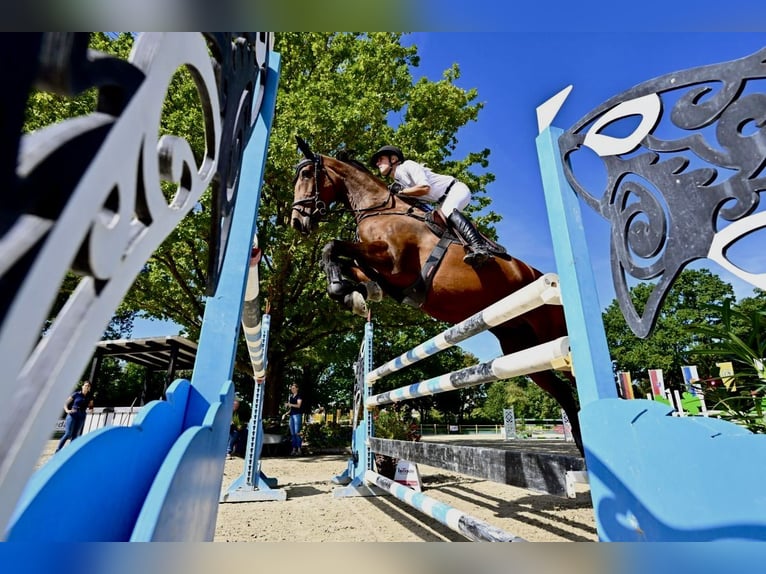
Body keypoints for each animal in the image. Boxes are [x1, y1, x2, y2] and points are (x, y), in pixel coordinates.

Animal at [292, 137, 584, 456]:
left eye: (305, 175)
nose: (296, 222)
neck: (378, 209)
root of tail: (542, 277)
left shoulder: (392, 261)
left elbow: (332, 246)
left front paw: (342, 290)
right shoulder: (381, 269)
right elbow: (346, 262)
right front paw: (354, 294)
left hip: (550, 332)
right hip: (519, 345)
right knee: (563, 393)